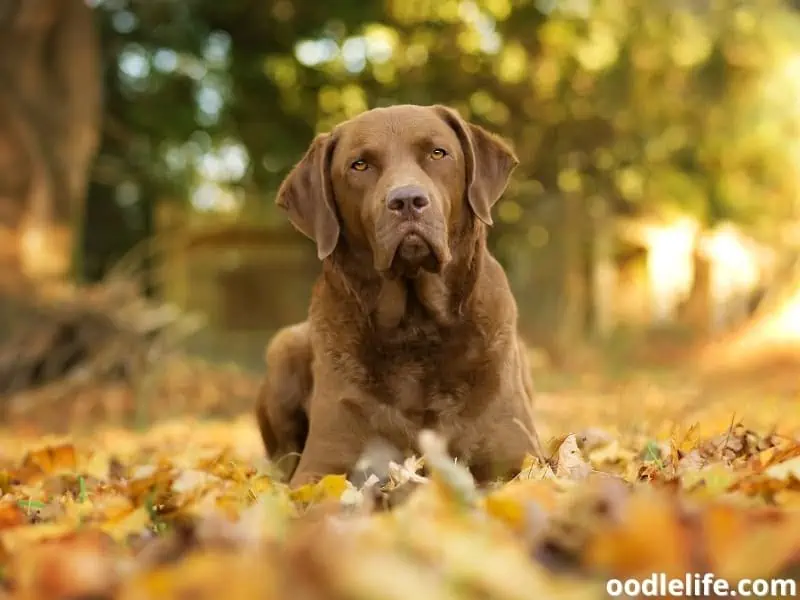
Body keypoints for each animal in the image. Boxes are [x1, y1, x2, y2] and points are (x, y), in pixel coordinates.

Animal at [256, 104, 544, 488]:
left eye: (437, 153)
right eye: (360, 164)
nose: (407, 200)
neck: (415, 327)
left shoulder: (518, 457)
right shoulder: (321, 466)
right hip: (284, 346)